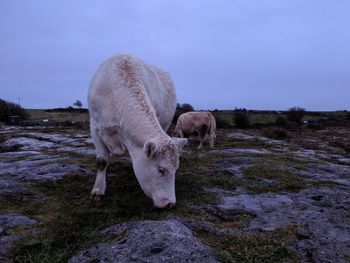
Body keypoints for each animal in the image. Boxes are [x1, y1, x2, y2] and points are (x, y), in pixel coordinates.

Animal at [87, 54, 187, 209]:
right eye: (161, 169)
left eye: (176, 169)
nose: (170, 203)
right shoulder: (95, 127)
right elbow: (102, 161)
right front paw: (98, 191)